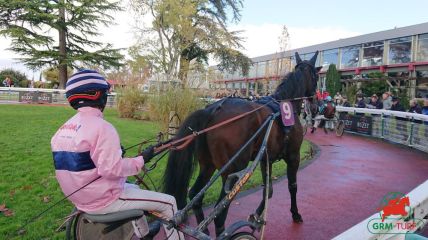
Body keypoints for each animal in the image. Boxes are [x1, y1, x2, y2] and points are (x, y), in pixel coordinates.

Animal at [162, 51, 320, 236]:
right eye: (317, 77)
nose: (315, 106)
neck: (284, 104)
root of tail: (211, 110)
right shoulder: (293, 156)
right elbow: (292, 186)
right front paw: (295, 214)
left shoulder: (266, 159)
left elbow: (268, 190)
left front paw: (256, 216)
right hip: (233, 169)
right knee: (219, 213)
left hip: (208, 165)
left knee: (195, 194)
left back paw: (204, 230)